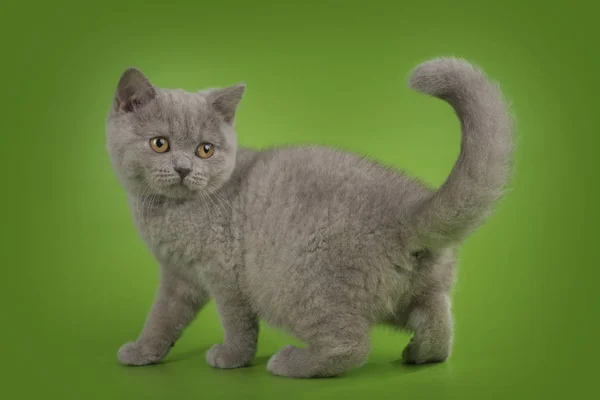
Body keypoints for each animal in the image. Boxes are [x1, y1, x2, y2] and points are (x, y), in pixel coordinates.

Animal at [105, 57, 512, 378]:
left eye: (206, 150)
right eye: (160, 143)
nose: (184, 169)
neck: (168, 211)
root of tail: (409, 210)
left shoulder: (226, 276)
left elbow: (237, 323)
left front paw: (231, 357)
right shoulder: (179, 276)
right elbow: (163, 317)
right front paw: (143, 352)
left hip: (295, 284)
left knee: (351, 343)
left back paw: (291, 363)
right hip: (421, 286)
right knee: (438, 325)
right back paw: (419, 353)